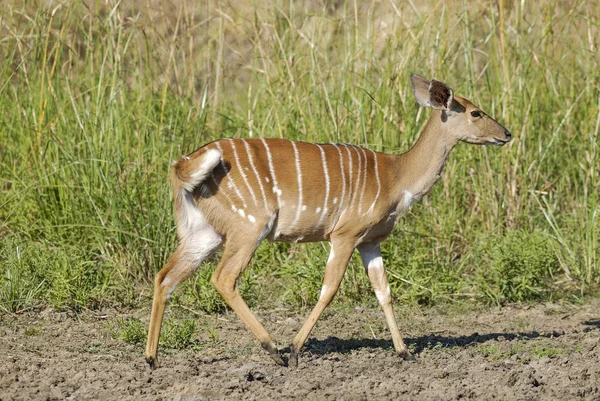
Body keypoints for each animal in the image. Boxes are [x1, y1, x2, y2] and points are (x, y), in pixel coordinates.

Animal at [145, 73, 510, 368]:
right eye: (476, 112)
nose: (506, 134)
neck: (397, 177)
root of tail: (183, 165)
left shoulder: (370, 242)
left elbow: (384, 291)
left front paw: (405, 352)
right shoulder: (344, 235)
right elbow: (329, 289)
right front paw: (294, 350)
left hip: (204, 234)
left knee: (165, 277)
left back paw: (151, 359)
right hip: (249, 227)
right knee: (223, 278)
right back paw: (274, 351)